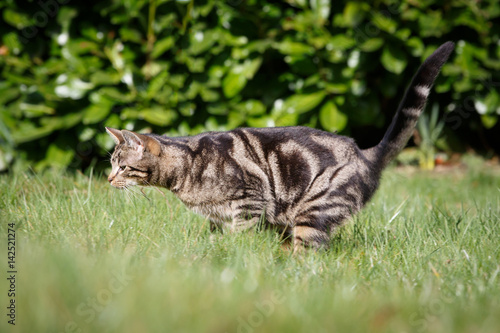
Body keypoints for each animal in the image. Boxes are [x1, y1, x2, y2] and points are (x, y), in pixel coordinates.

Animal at [107, 40, 456, 249]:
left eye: (122, 166)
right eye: (111, 164)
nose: (108, 179)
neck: (186, 168)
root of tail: (366, 153)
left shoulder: (249, 202)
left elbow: (241, 240)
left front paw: (236, 259)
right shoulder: (217, 218)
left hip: (313, 211)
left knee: (310, 254)